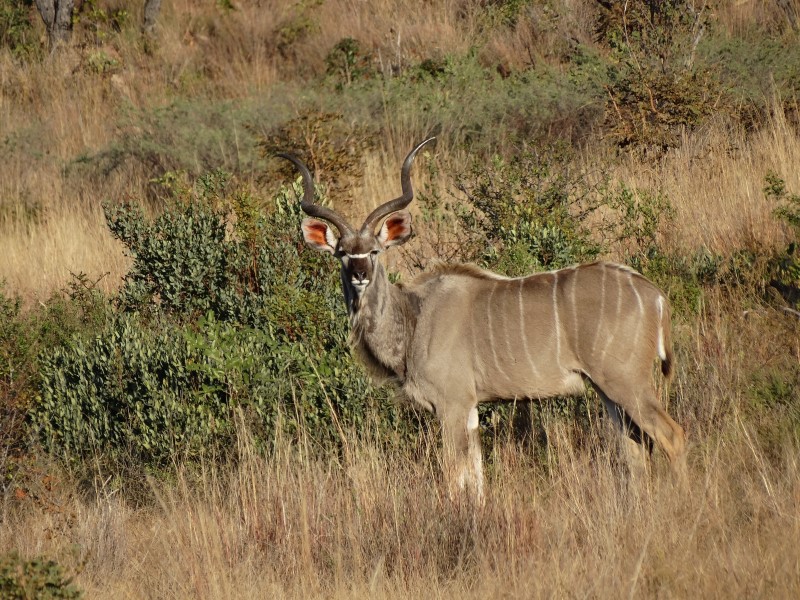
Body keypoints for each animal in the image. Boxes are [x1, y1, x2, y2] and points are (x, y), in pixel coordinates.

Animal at [278, 138, 684, 500]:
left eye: (375, 251)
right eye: (342, 253)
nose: (360, 274)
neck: (413, 319)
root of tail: (655, 296)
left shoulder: (452, 404)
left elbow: (454, 476)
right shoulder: (471, 408)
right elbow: (475, 479)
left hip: (626, 382)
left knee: (671, 436)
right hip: (607, 391)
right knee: (635, 446)